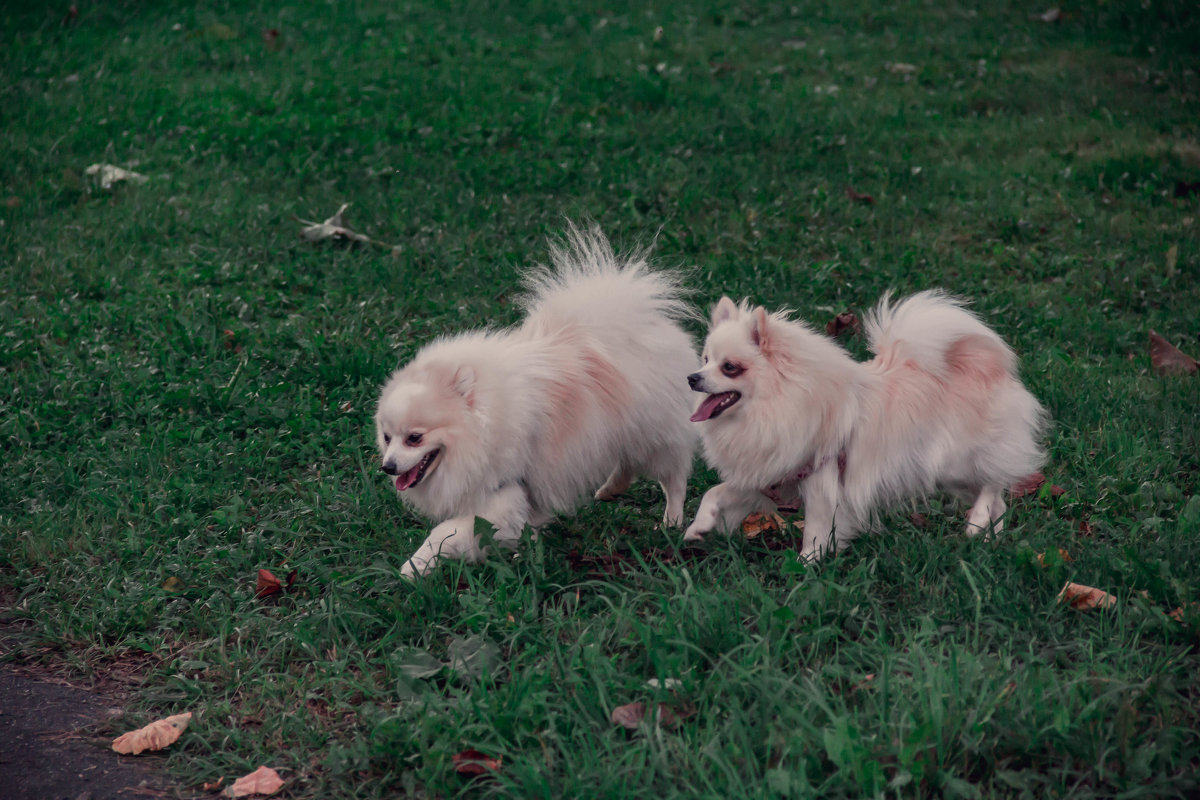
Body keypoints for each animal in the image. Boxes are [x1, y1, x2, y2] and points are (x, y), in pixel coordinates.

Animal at [372, 225, 696, 575]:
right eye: (387, 438)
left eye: (414, 438)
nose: (388, 467)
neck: (482, 428)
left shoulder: (501, 493)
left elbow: (444, 533)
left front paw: (414, 567)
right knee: (627, 462)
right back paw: (610, 490)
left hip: (653, 434)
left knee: (673, 478)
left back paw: (672, 521)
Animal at [691, 291, 1046, 561]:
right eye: (705, 360)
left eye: (730, 367)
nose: (692, 378)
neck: (772, 405)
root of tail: (979, 363)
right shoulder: (770, 475)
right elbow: (716, 492)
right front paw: (699, 526)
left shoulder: (822, 483)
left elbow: (816, 530)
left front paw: (807, 565)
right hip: (949, 474)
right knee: (998, 498)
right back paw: (988, 537)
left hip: (957, 462)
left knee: (994, 483)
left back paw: (977, 522)